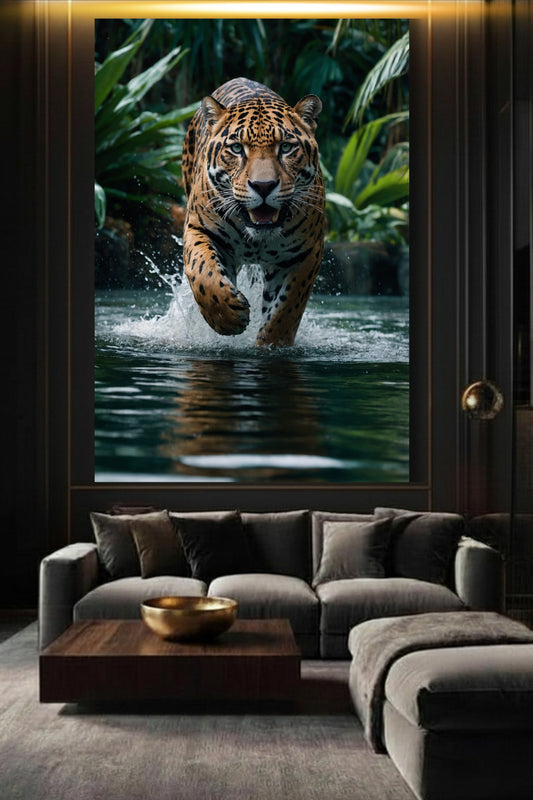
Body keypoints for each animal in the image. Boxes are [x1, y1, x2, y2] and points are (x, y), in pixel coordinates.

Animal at [181, 77, 326, 347]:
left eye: (286, 147)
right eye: (237, 148)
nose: (263, 186)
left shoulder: (306, 252)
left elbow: (288, 307)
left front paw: (274, 343)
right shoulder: (198, 228)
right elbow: (203, 272)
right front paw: (226, 317)